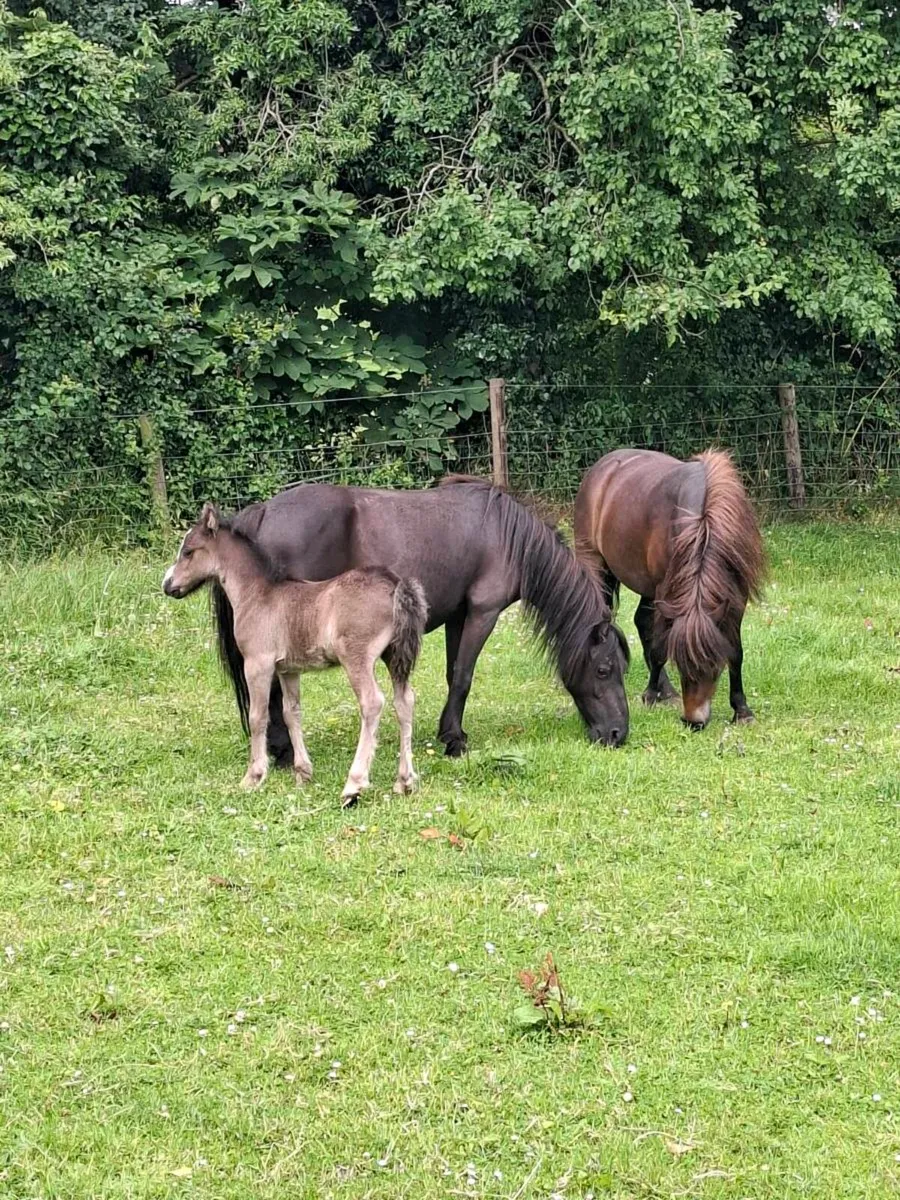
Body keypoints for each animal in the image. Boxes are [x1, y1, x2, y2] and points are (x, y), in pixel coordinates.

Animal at [162, 502, 428, 805]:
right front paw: (303, 773)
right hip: (394, 656)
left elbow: (258, 716)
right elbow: (292, 713)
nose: (167, 585)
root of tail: (395, 585)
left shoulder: (258, 664)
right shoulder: (289, 669)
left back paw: (354, 784)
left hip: (356, 658)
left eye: (188, 551)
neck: (257, 594)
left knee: (372, 703)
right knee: (404, 702)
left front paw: (253, 776)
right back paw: (405, 781)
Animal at [208, 476, 631, 762]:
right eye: (604, 669)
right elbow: (464, 677)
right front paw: (456, 741)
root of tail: (261, 513)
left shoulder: (459, 615)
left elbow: (453, 674)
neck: (507, 536)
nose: (618, 733)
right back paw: (281, 751)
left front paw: (449, 732)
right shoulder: (483, 613)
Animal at [574, 449, 765, 730]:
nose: (693, 720)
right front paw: (651, 694)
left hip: (649, 588)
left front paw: (742, 710)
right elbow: (660, 648)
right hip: (597, 565)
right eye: (681, 664)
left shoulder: (734, 599)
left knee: (642, 621)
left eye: (713, 666)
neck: (704, 522)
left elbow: (735, 652)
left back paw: (667, 689)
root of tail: (602, 466)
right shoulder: (667, 593)